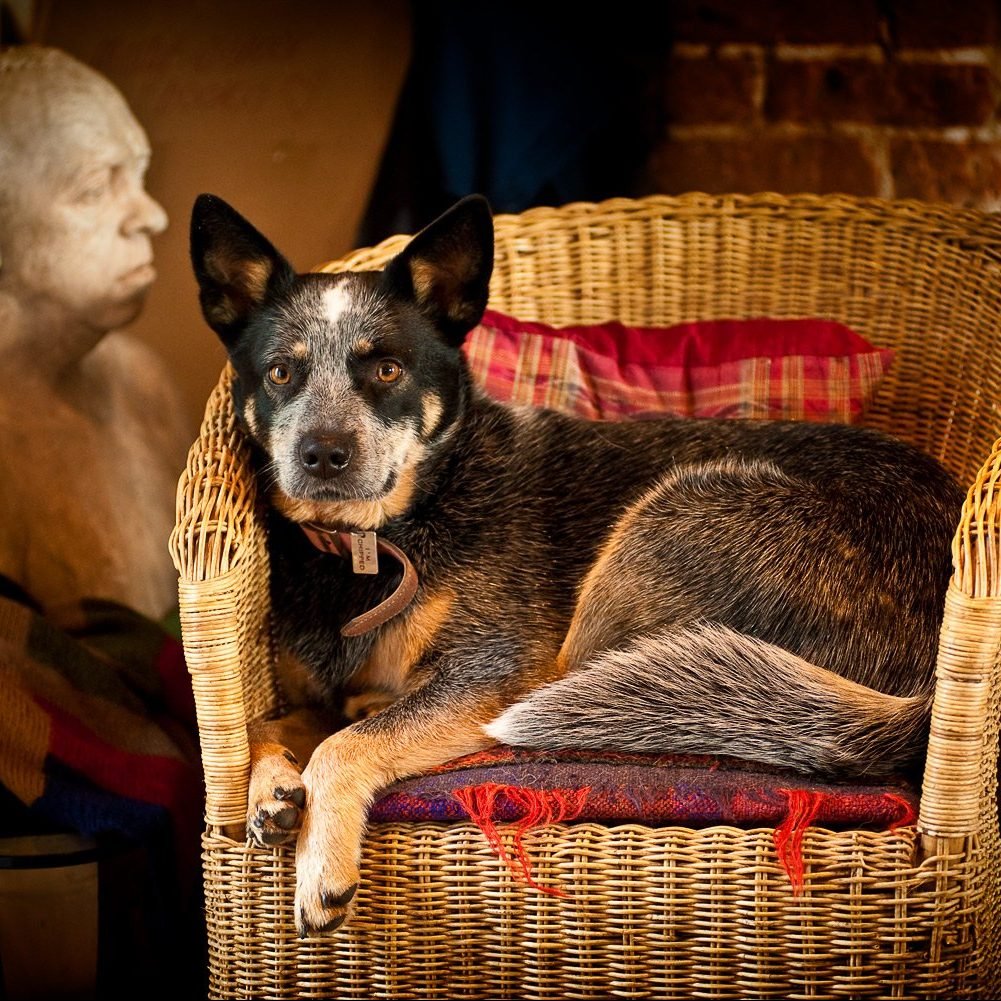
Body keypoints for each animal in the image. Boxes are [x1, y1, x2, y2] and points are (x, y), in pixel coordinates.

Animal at [188, 191, 960, 932]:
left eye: (386, 369)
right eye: (280, 372)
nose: (321, 453)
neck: (369, 547)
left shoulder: (491, 669)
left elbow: (344, 745)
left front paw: (319, 862)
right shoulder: (312, 690)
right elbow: (264, 723)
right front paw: (271, 789)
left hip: (666, 518)